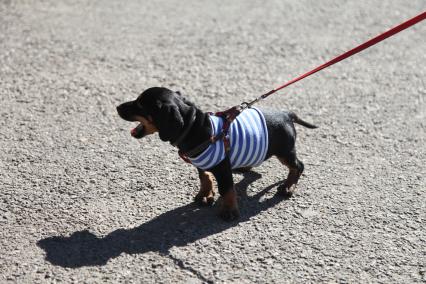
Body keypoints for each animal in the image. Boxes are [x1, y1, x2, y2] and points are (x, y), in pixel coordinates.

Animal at [116, 87, 316, 221]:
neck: (195, 128)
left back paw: (288, 187)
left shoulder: (222, 167)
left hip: (285, 152)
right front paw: (205, 195)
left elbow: (227, 189)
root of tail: (287, 114)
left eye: (140, 104)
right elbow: (204, 177)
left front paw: (229, 211)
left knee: (298, 166)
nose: (117, 107)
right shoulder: (200, 162)